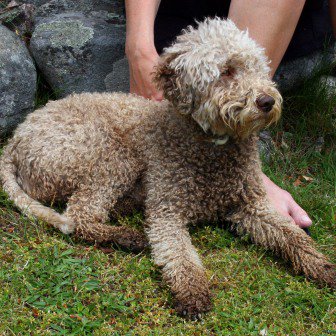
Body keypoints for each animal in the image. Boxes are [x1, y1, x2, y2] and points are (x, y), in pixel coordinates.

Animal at [0, 18, 334, 318]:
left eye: (259, 68)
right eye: (226, 71)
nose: (267, 101)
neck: (211, 148)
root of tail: (16, 139)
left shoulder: (252, 206)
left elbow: (293, 237)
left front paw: (323, 266)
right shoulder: (167, 212)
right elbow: (179, 257)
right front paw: (193, 294)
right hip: (112, 156)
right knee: (78, 216)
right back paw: (127, 235)